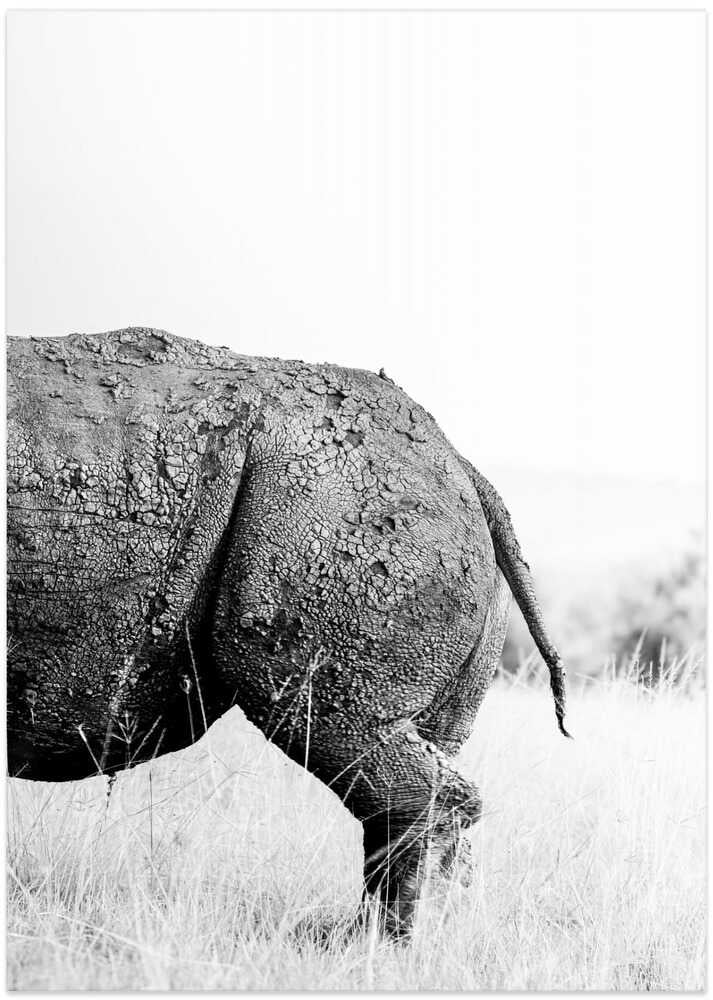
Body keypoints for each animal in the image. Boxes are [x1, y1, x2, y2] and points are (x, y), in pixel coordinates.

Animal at [7, 328, 569, 935]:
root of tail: (462, 463)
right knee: (415, 753)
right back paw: (399, 938)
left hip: (335, 511)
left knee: (342, 731)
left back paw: (387, 945)